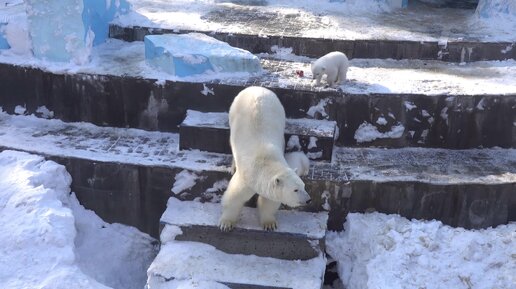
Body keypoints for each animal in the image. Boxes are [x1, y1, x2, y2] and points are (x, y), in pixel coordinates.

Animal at [219, 86, 310, 231]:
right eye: (295, 190)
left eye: (303, 186)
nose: (308, 199)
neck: (265, 161)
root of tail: (256, 87)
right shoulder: (247, 177)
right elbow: (235, 197)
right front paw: (226, 223)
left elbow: (269, 201)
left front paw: (269, 224)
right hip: (233, 114)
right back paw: (233, 166)